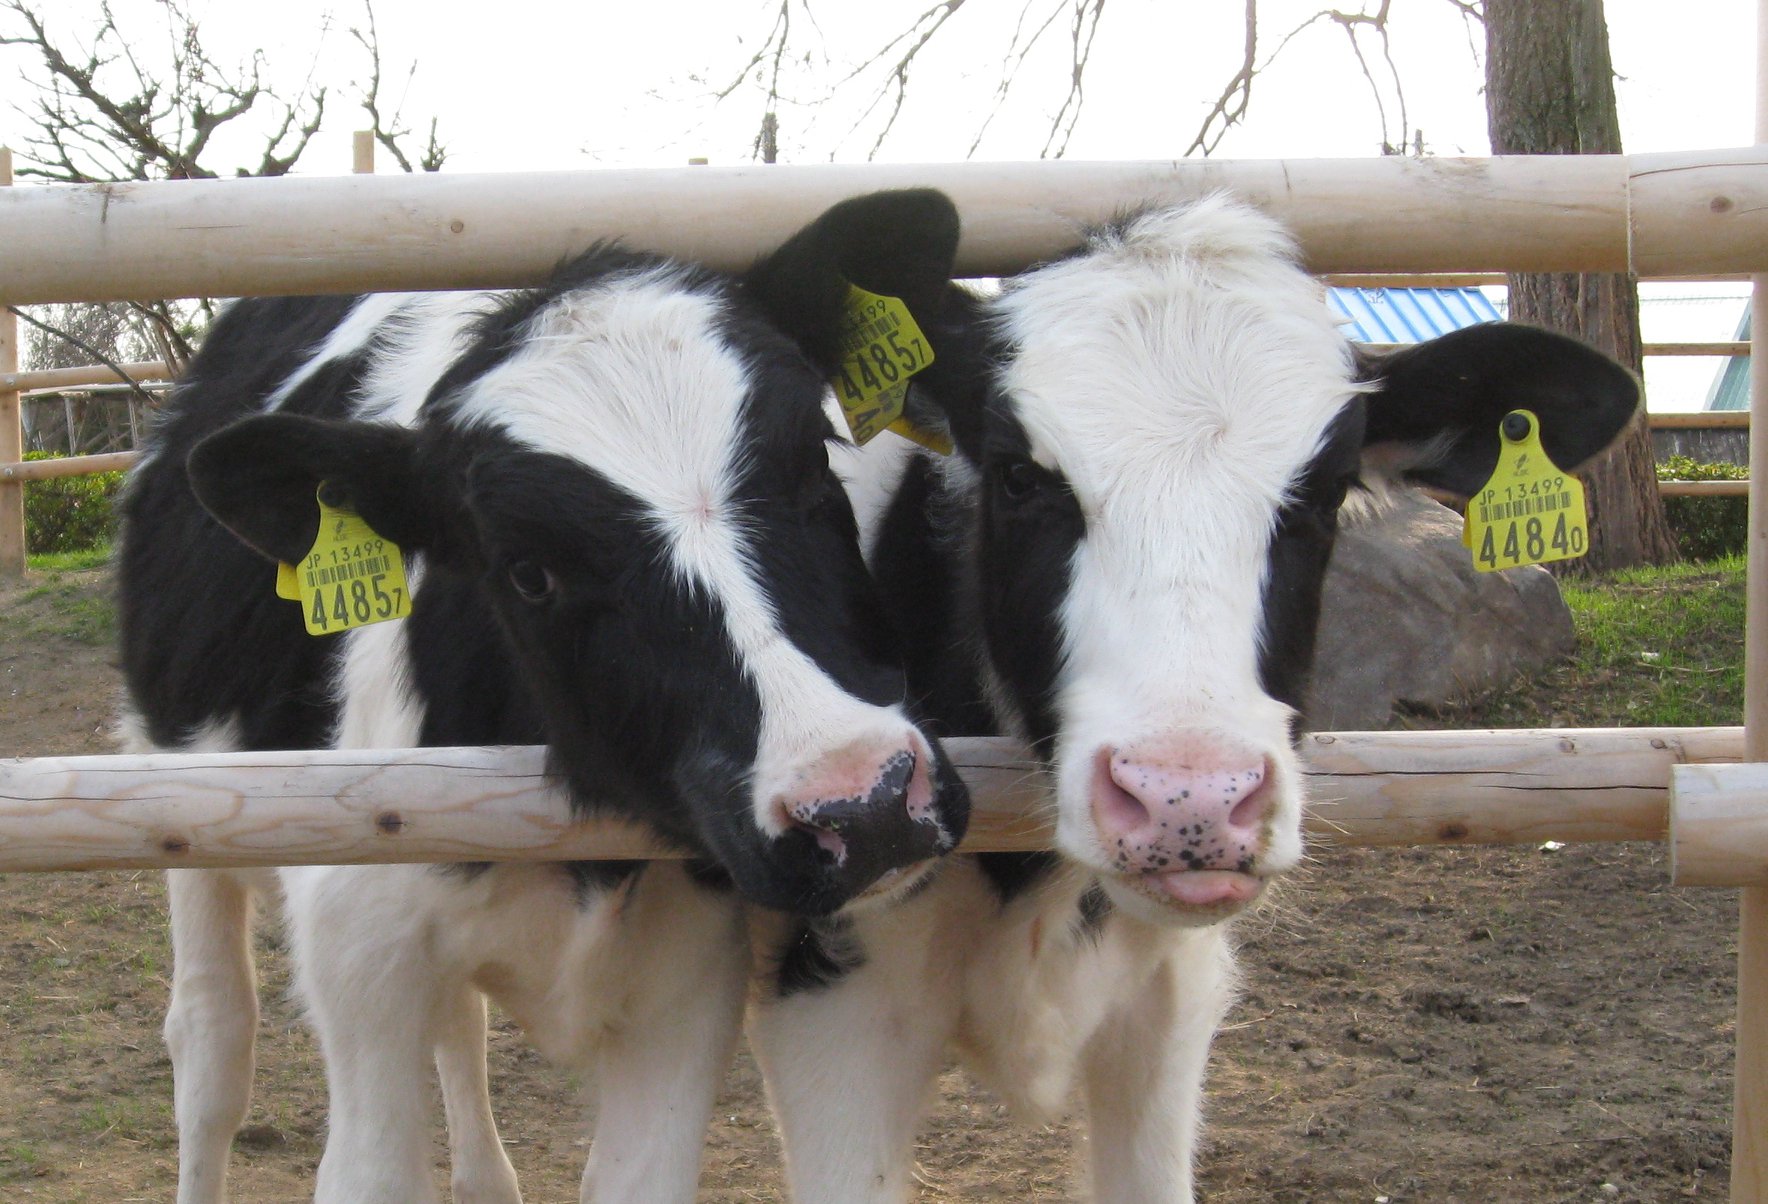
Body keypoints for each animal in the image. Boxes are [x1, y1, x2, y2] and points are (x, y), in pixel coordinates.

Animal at [114, 190, 968, 1202]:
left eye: (817, 462)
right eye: (527, 572)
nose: (865, 804)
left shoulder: (687, 984)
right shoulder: (362, 958)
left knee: (456, 1029)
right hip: (184, 805)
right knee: (212, 1050)